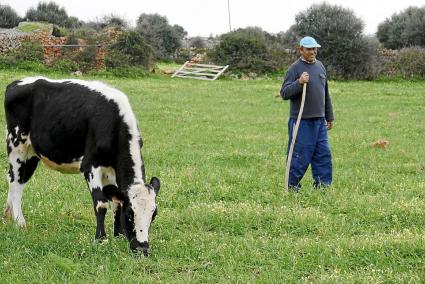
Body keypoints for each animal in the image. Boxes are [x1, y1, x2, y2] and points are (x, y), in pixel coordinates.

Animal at [2, 76, 159, 255]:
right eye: (130, 214)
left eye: (154, 214)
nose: (142, 248)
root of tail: (18, 82)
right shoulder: (91, 165)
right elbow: (101, 203)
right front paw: (101, 239)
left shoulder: (112, 171)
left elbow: (116, 202)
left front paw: (118, 235)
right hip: (17, 145)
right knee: (15, 182)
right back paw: (20, 222)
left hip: (32, 153)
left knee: (17, 180)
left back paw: (7, 215)